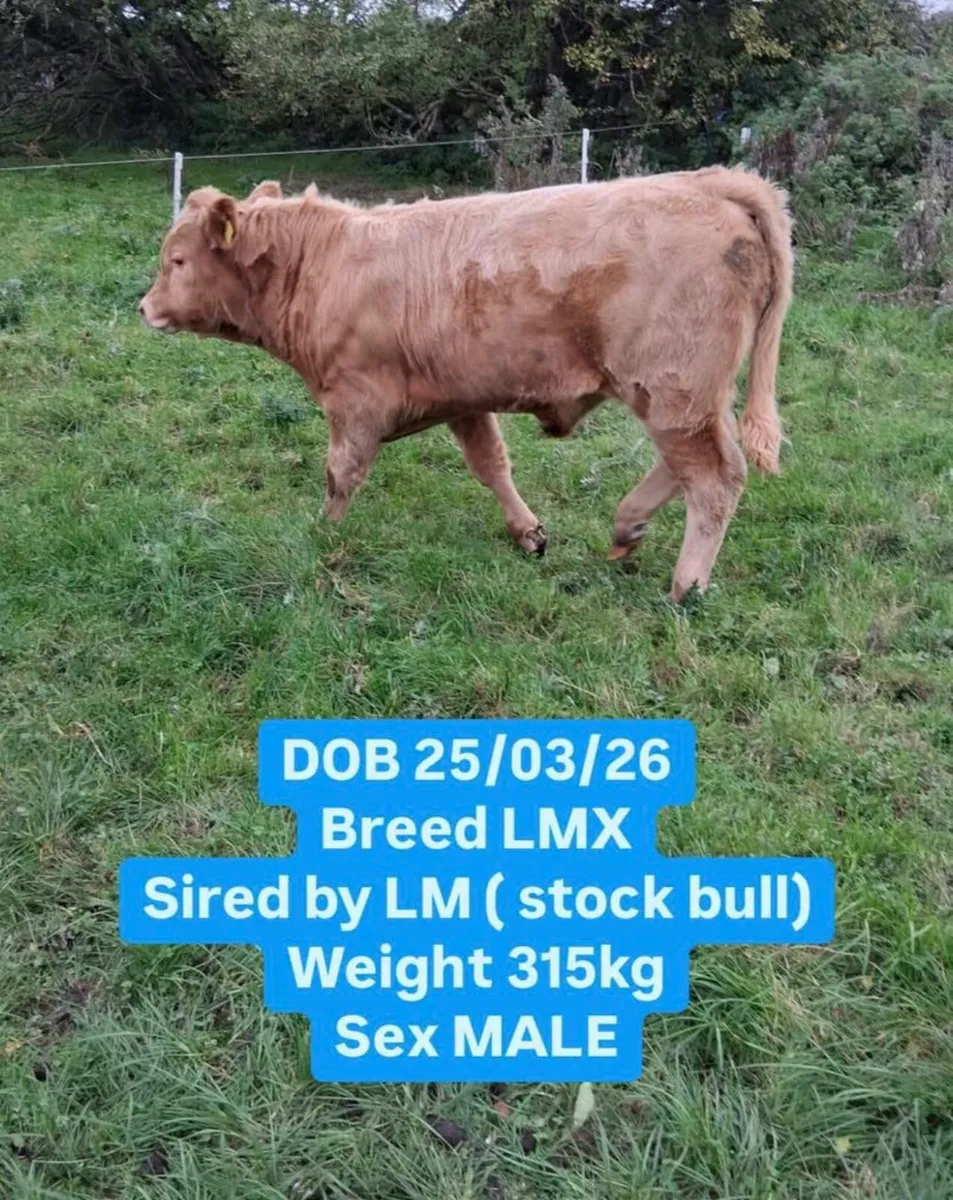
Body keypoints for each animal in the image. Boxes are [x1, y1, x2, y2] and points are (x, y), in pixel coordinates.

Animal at [140, 166, 793, 601]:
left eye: (177, 261)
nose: (145, 307)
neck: (321, 265)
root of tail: (707, 182)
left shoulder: (354, 401)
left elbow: (340, 474)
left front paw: (322, 535)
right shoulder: (462, 396)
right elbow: (491, 465)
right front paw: (528, 532)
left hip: (674, 388)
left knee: (713, 477)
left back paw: (687, 585)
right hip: (684, 395)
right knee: (698, 465)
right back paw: (627, 525)